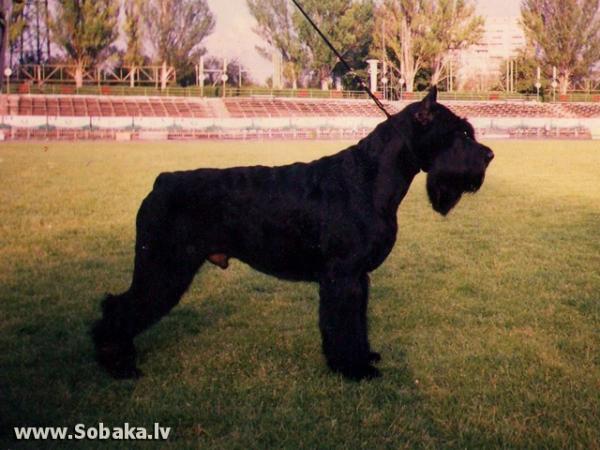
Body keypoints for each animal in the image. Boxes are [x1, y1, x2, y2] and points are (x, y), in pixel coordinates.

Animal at [90, 87, 492, 380]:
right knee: (119, 306)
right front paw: (354, 369)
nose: (488, 155)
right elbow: (342, 324)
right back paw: (119, 365)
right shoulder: (342, 276)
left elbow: (356, 323)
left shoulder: (357, 277)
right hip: (163, 269)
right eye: (458, 133)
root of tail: (162, 182)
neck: (369, 178)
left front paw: (363, 357)